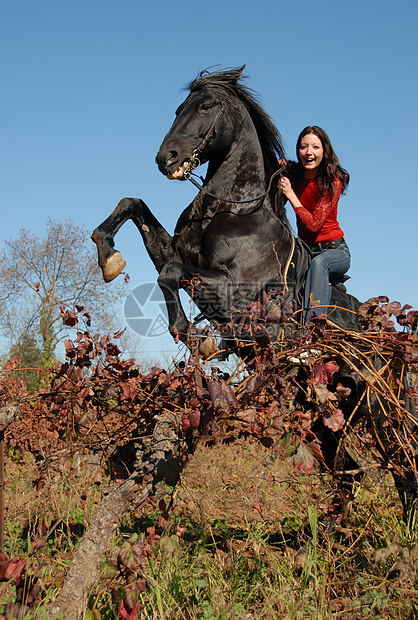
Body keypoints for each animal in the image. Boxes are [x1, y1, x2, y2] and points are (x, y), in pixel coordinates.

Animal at [92, 66, 418, 524]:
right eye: (178, 109)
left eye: (206, 106)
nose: (165, 158)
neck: (230, 210)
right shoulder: (177, 253)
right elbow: (135, 207)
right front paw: (108, 256)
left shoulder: (237, 294)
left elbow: (173, 276)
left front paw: (193, 335)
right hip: (325, 414)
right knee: (350, 473)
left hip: (382, 413)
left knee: (402, 469)